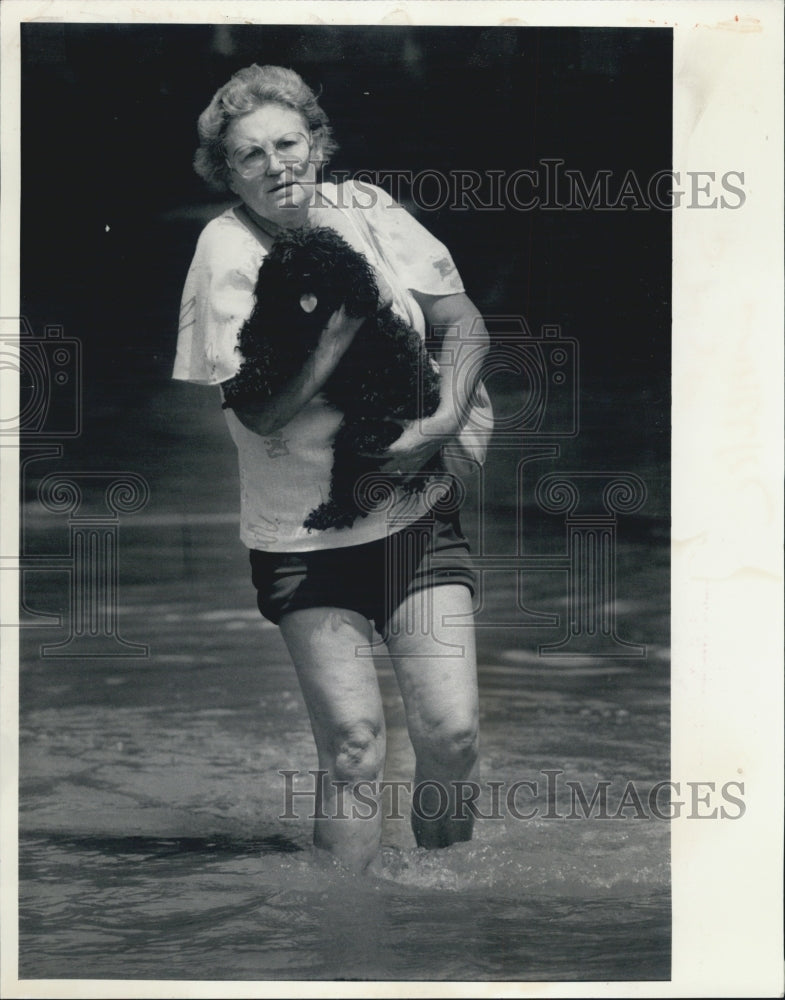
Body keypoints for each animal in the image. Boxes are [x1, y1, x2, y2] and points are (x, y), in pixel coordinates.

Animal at [220, 227, 440, 532]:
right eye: (289, 260)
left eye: (323, 259)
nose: (306, 274)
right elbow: (265, 335)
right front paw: (251, 336)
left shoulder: (302, 346)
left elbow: (273, 358)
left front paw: (242, 386)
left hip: (358, 438)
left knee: (357, 490)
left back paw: (330, 514)